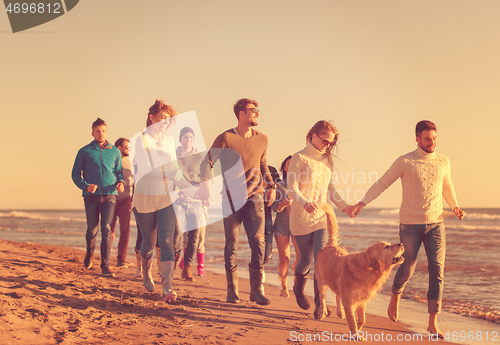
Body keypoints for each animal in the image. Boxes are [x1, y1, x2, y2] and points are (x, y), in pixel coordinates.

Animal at [314, 204, 404, 338]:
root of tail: (331, 245)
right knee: (322, 298)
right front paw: (356, 334)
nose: (402, 244)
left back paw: (340, 312)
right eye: (386, 247)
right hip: (321, 282)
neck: (367, 270)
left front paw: (359, 326)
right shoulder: (349, 301)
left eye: (389, 244)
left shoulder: (362, 300)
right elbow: (351, 319)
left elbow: (363, 319)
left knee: (337, 296)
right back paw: (322, 311)